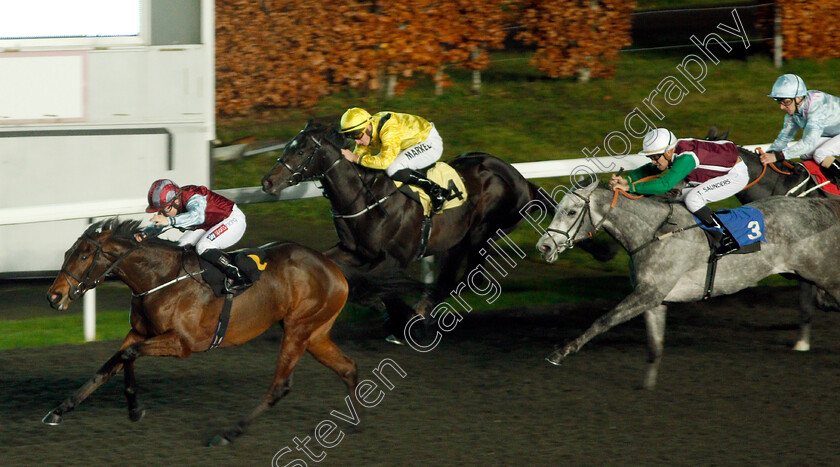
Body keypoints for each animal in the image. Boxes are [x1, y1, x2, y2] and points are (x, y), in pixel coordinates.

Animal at [45, 219, 360, 446]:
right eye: (67, 253)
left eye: (84, 256)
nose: (53, 296)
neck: (160, 277)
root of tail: (329, 263)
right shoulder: (139, 332)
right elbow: (112, 364)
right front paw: (59, 410)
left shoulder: (182, 344)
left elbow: (127, 355)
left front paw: (134, 408)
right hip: (315, 333)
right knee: (348, 367)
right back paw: (353, 422)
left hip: (299, 329)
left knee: (280, 386)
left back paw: (229, 433)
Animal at [260, 122, 568, 336]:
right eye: (287, 146)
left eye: (300, 150)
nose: (267, 182)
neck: (364, 198)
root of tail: (522, 180)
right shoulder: (354, 251)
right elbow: (342, 273)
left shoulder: (395, 257)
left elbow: (367, 283)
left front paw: (397, 316)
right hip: (458, 239)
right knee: (449, 279)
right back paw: (423, 314)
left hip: (483, 232)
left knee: (468, 280)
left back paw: (422, 317)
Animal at [536, 183, 840, 392]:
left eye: (571, 211)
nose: (544, 246)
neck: (652, 234)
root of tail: (819, 206)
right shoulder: (654, 299)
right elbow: (654, 346)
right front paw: (647, 386)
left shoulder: (648, 293)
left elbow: (603, 320)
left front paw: (560, 353)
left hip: (824, 274)